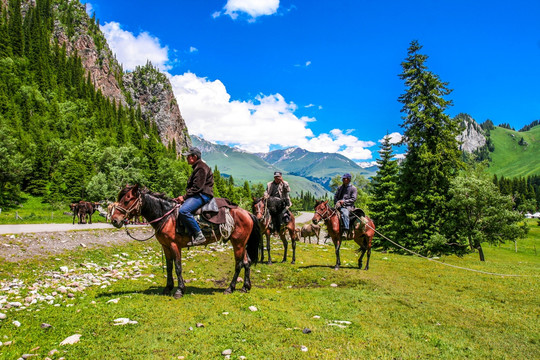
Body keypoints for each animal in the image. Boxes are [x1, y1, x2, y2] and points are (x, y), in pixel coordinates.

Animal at [110, 184, 260, 300]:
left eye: (127, 200)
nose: (114, 220)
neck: (167, 216)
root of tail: (247, 213)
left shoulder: (174, 245)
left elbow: (177, 267)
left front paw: (179, 290)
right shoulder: (165, 246)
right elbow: (169, 267)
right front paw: (168, 288)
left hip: (238, 243)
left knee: (239, 264)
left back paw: (230, 288)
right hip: (241, 243)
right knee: (247, 262)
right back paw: (245, 287)